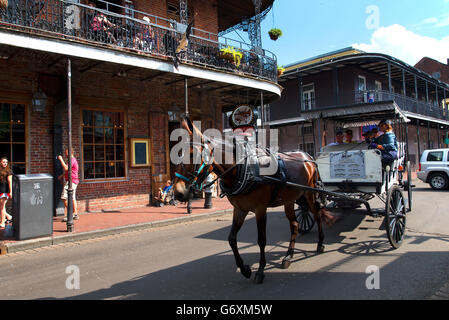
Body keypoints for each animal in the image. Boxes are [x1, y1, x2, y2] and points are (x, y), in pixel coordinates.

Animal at [173, 117, 334, 282]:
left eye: (191, 155)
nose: (177, 192)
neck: (243, 169)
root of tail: (308, 157)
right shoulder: (240, 209)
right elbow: (231, 238)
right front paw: (244, 269)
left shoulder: (260, 209)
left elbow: (261, 239)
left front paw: (261, 270)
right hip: (289, 198)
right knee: (295, 224)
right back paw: (288, 257)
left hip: (310, 193)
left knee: (318, 215)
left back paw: (320, 244)